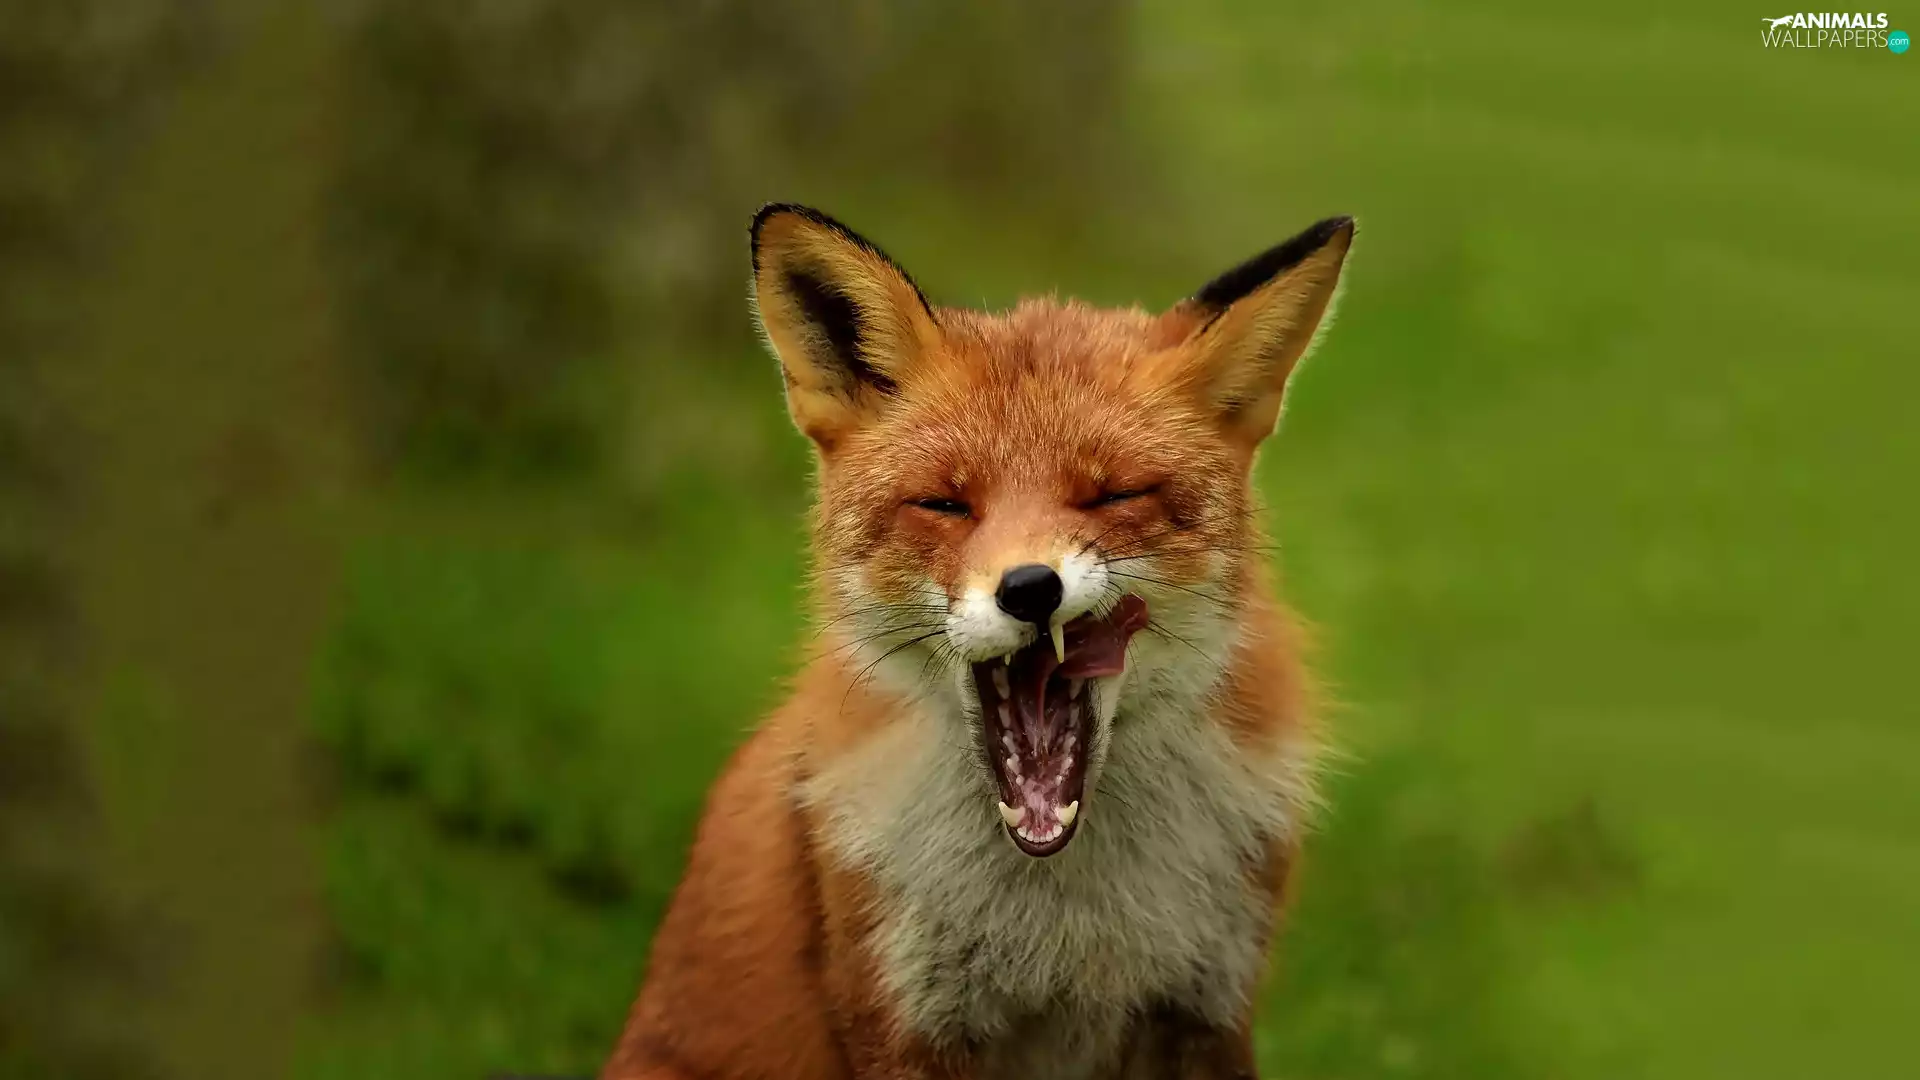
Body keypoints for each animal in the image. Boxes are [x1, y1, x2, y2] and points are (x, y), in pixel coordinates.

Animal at [601, 203, 1356, 1080]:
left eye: (1113, 495)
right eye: (945, 504)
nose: (1029, 588)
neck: (1065, 917)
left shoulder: (1207, 1009)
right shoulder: (902, 1020)